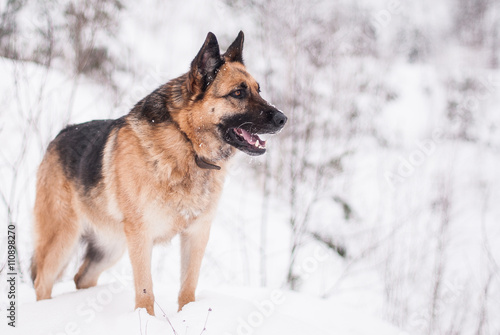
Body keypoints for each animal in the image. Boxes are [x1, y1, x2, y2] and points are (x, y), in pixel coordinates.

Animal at [31, 31, 288, 316]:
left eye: (258, 90)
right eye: (238, 93)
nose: (283, 118)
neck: (186, 143)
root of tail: (59, 135)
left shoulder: (196, 234)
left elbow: (188, 288)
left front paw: (188, 316)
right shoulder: (141, 236)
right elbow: (145, 292)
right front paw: (145, 320)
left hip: (110, 247)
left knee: (81, 277)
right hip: (63, 239)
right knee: (43, 283)